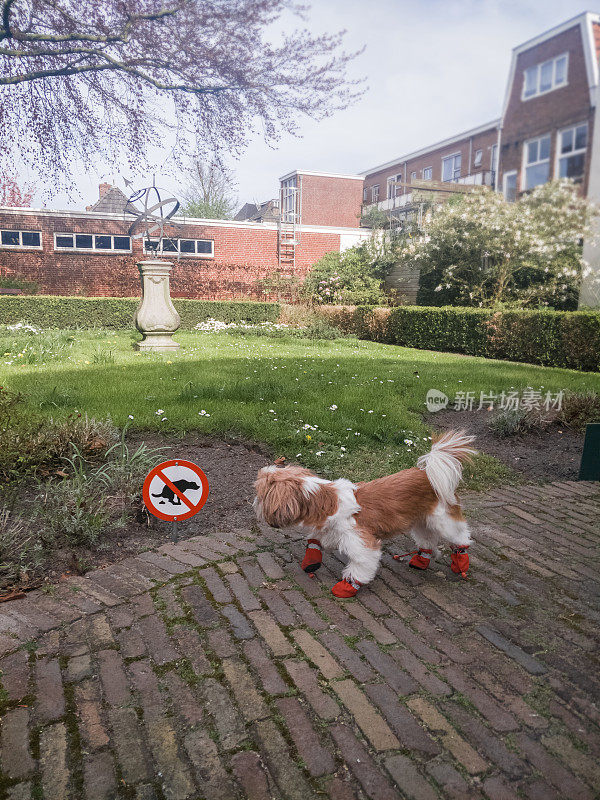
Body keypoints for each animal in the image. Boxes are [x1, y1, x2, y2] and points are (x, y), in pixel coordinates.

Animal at [251, 432, 476, 592]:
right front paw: (311, 561)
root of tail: (427, 472)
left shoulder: (361, 542)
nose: (253, 502)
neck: (326, 499)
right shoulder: (328, 530)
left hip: (443, 519)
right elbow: (314, 542)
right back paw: (421, 560)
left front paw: (348, 586)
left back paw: (460, 560)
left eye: (260, 494)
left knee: (459, 536)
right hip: (421, 521)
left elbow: (360, 565)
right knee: (427, 541)